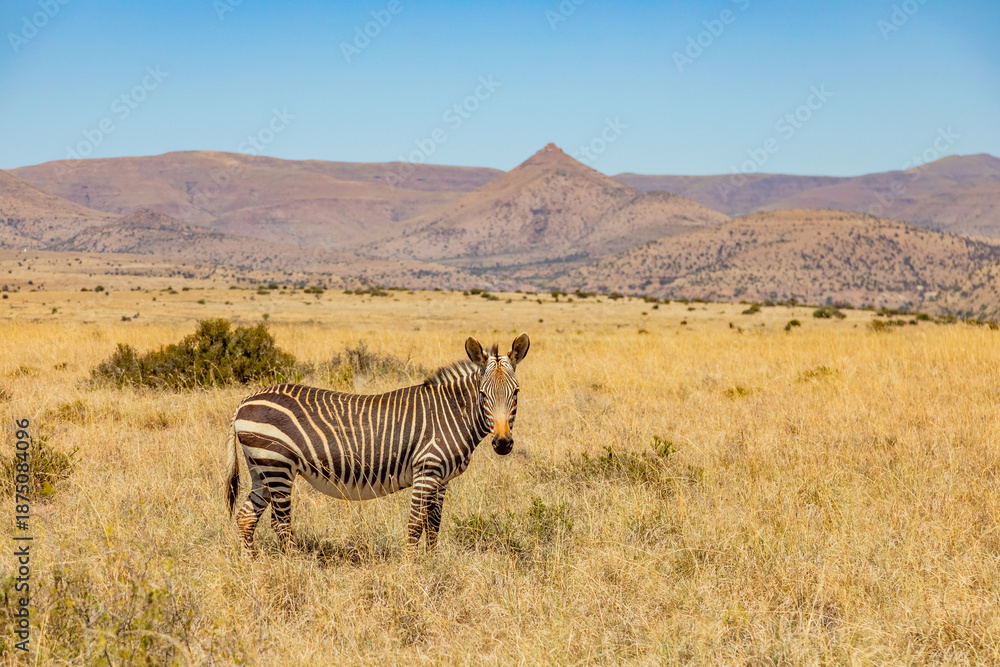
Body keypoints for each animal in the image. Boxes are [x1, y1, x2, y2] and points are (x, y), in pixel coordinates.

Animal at [225, 333, 530, 555]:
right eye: (483, 394)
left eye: (515, 392)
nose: (503, 444)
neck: (453, 412)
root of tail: (244, 401)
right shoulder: (427, 470)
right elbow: (415, 525)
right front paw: (412, 571)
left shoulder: (441, 478)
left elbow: (434, 526)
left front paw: (432, 563)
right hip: (277, 465)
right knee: (281, 524)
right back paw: (293, 567)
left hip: (261, 469)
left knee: (246, 517)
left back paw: (251, 565)